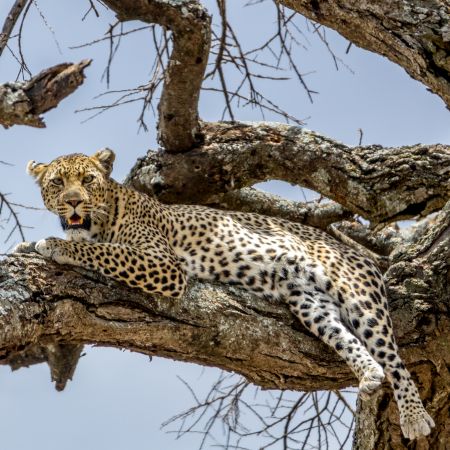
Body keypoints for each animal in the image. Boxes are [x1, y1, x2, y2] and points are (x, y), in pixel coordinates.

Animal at [22, 149, 436, 438]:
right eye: (58, 183)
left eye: (87, 180)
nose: (74, 201)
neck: (98, 219)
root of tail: (358, 253)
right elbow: (99, 248)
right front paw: (36, 243)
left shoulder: (163, 265)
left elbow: (105, 252)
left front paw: (54, 245)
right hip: (308, 301)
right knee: (352, 341)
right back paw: (368, 374)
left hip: (358, 294)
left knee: (395, 359)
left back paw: (414, 417)